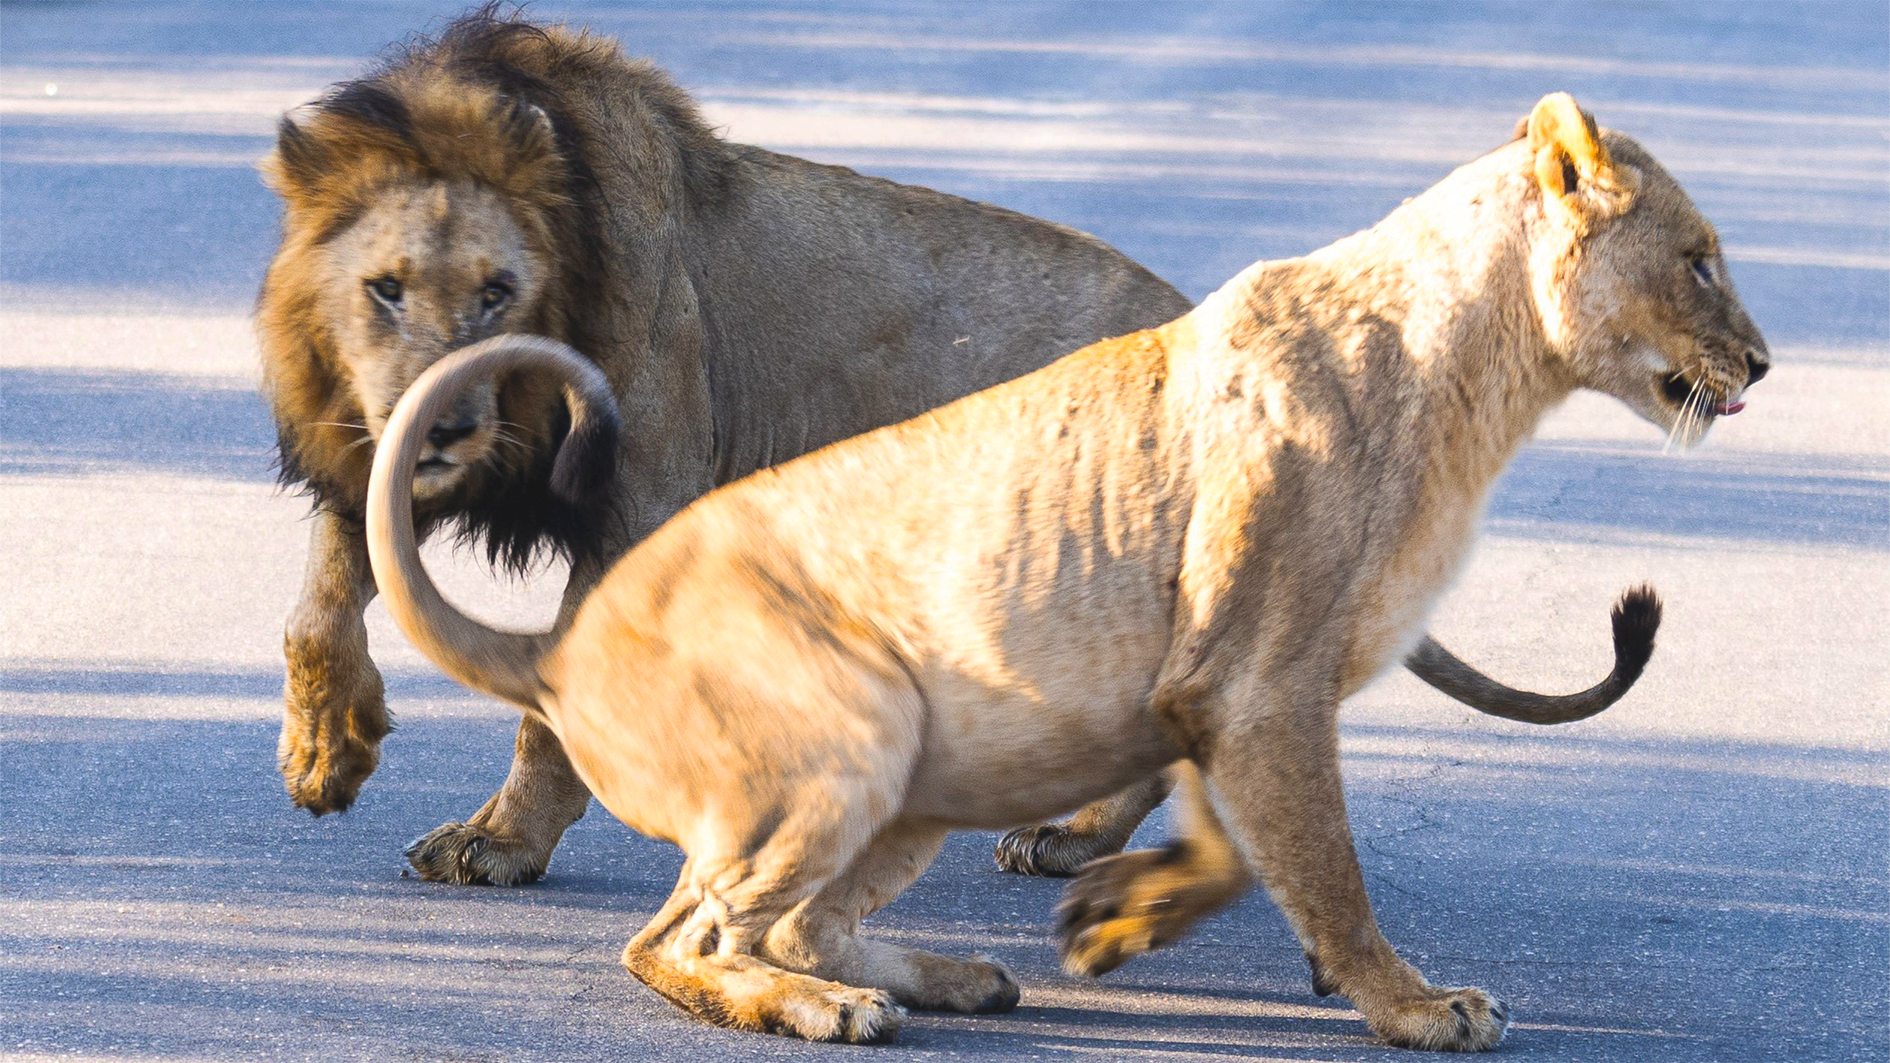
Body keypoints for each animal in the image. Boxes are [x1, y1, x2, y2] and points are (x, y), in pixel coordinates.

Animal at [258, 10, 1632, 885]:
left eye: (498, 292)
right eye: (386, 290)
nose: (441, 423)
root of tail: (1193, 317)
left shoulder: (641, 491)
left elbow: (551, 712)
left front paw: (498, 844)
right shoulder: (360, 449)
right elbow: (319, 606)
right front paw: (327, 756)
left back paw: (1074, 836)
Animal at [357, 95, 1769, 1044]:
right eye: (1698, 257)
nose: (1761, 362)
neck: (1481, 380)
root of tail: (574, 646)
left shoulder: (1243, 684)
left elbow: (1252, 841)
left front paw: (1123, 913)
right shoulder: (1257, 678)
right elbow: (1324, 858)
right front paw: (1414, 1004)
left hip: (921, 765)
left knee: (787, 919)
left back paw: (938, 975)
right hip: (859, 716)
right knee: (679, 936)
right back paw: (826, 1008)